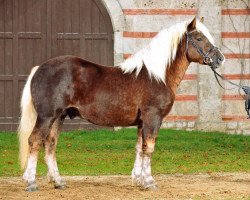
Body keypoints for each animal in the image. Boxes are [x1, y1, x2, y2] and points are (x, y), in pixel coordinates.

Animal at [17, 18, 225, 191]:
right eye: (199, 38)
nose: (220, 58)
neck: (157, 76)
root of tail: (40, 68)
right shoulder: (153, 118)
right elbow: (149, 148)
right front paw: (149, 182)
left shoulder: (142, 122)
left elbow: (139, 148)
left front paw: (139, 180)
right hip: (47, 116)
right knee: (34, 141)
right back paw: (31, 182)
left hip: (58, 117)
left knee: (50, 144)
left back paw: (58, 181)